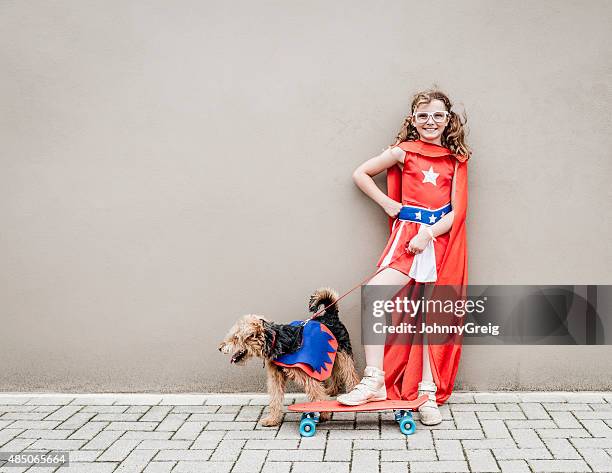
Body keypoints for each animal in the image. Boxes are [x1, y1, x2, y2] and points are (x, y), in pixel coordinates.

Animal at [219, 286, 358, 426]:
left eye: (235, 338)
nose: (220, 348)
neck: (275, 341)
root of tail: (331, 315)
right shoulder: (275, 377)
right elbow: (275, 399)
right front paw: (272, 419)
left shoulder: (306, 375)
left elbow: (316, 394)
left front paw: (324, 413)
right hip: (331, 355)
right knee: (335, 373)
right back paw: (331, 390)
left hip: (344, 355)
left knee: (351, 376)